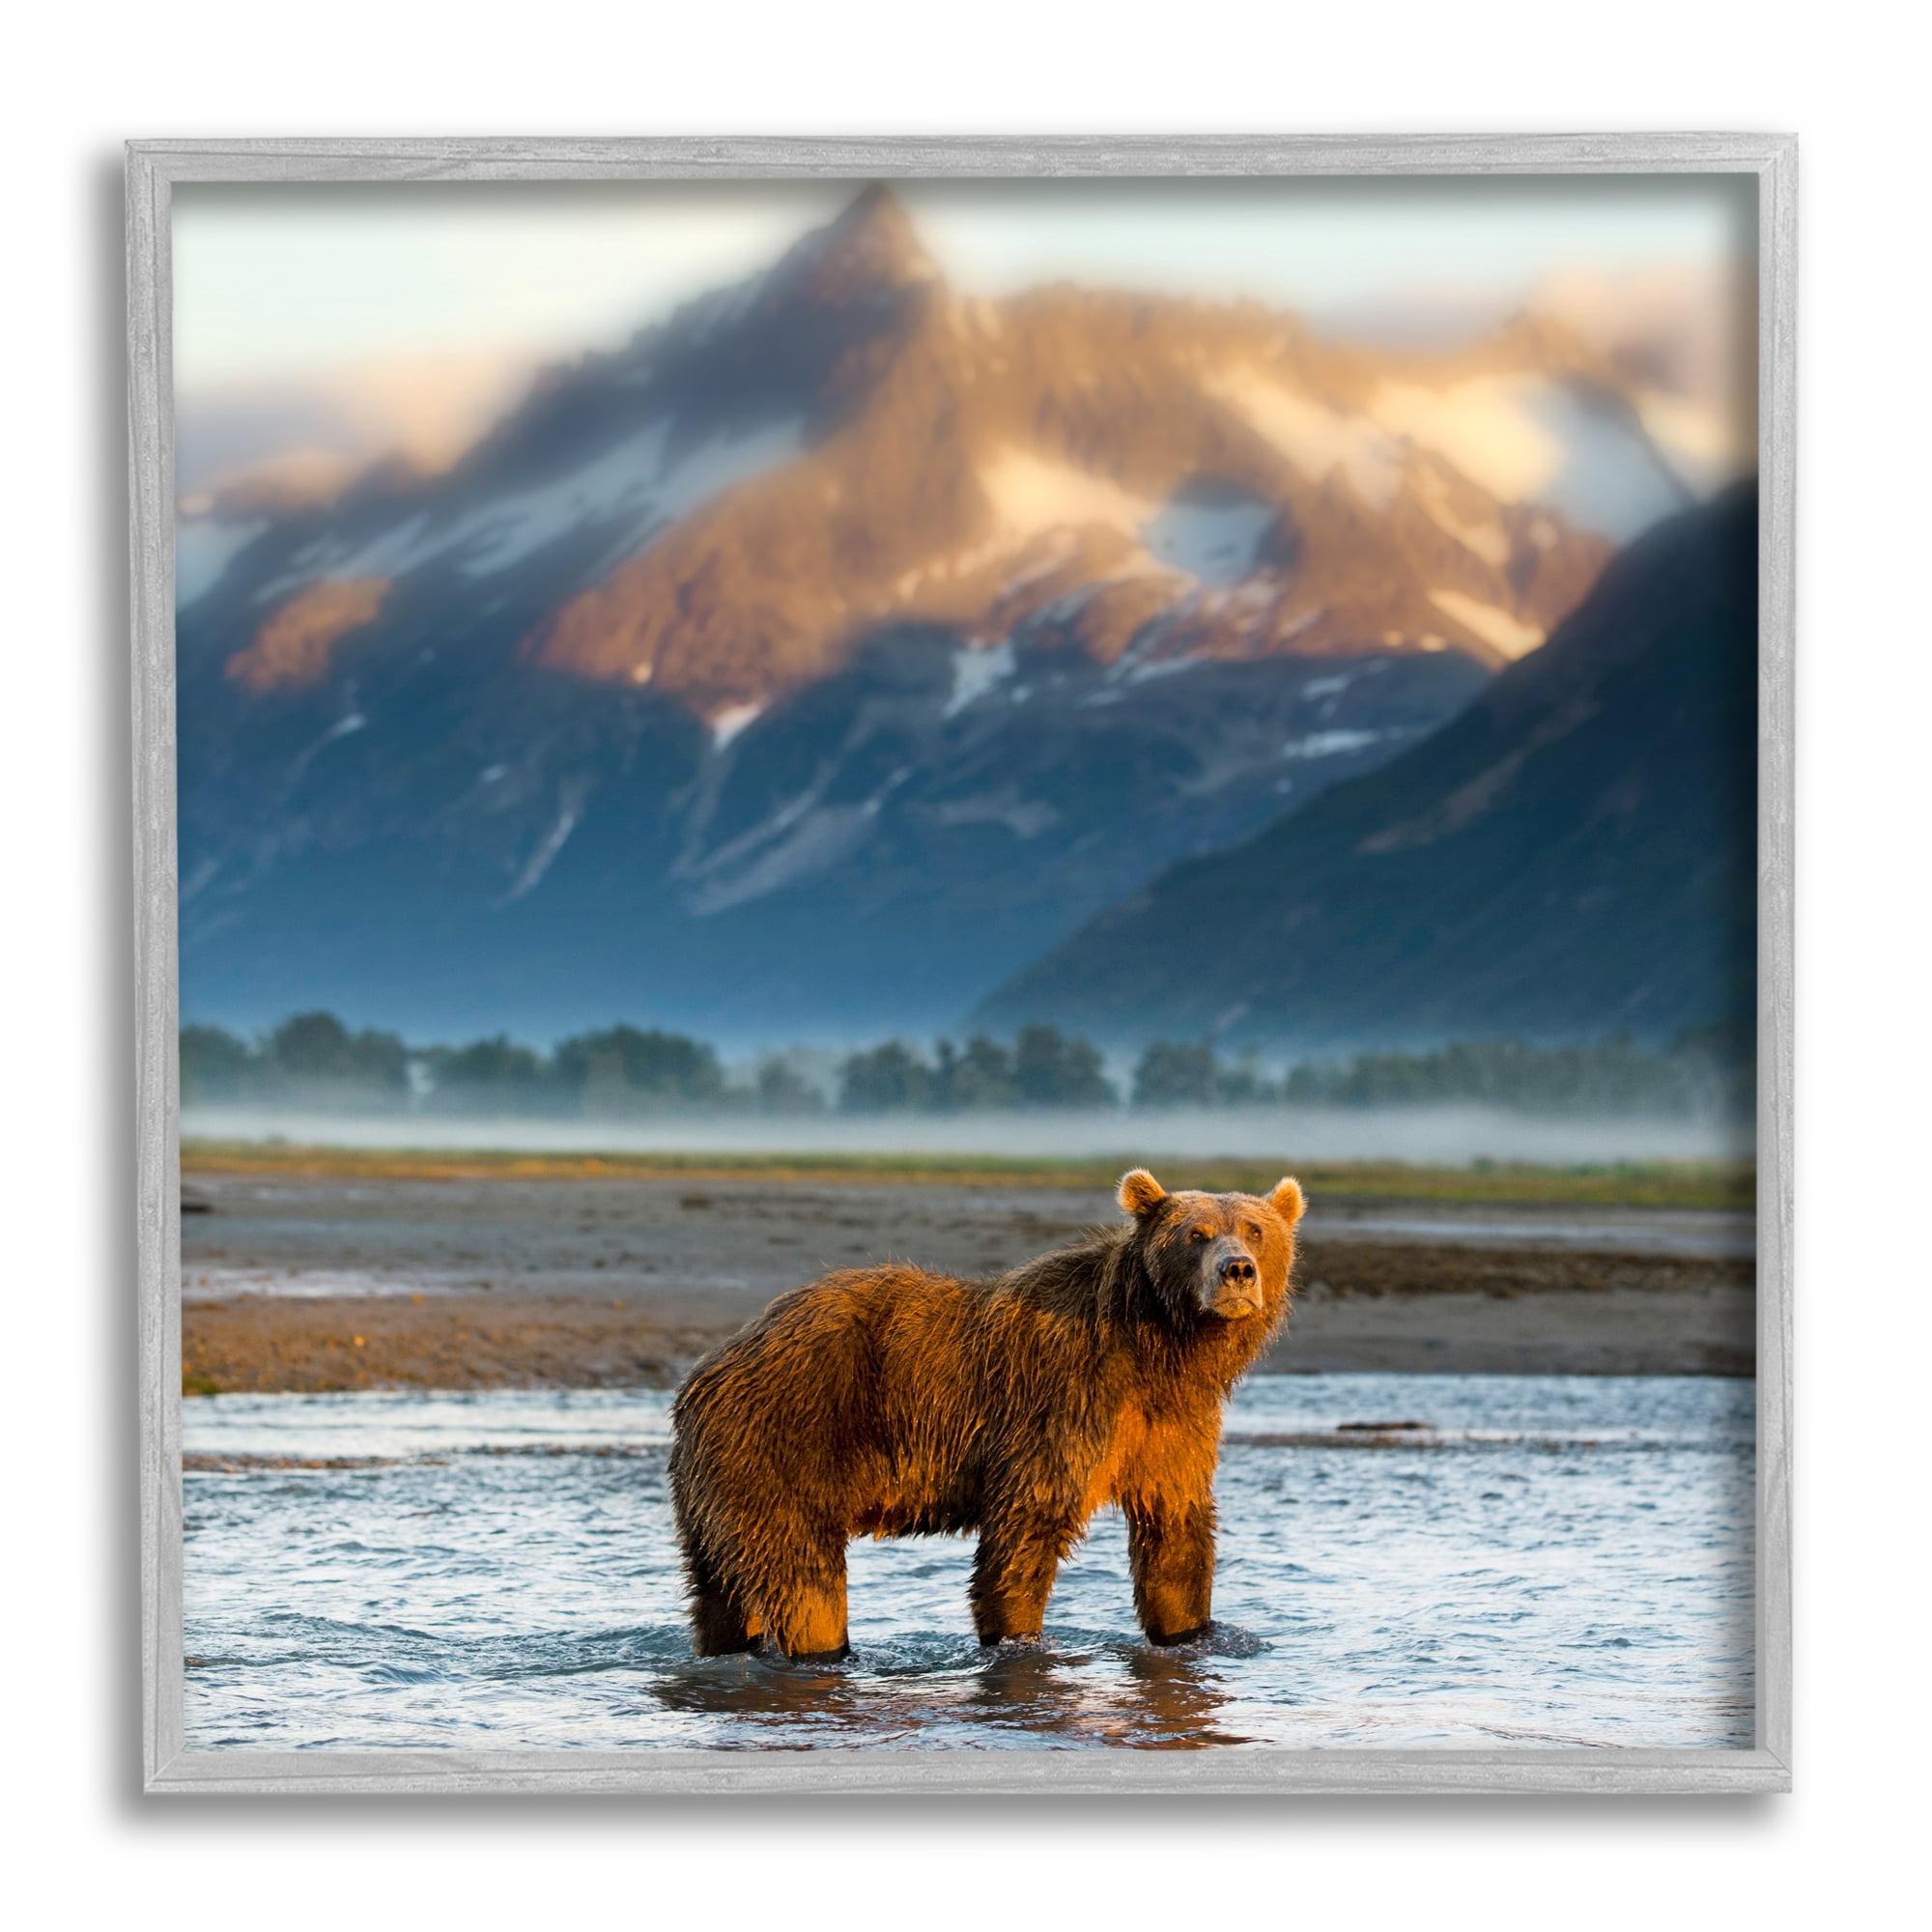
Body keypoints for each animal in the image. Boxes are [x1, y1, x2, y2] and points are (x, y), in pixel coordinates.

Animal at [667, 1167, 1304, 1659]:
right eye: (1196, 1234)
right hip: (788, 1441)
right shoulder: (1063, 1400)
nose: (1237, 1269)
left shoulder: (1172, 1423)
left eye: (1255, 1229)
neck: (1161, 1347)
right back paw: (823, 1652)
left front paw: (1191, 1635)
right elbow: (1027, 1529)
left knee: (718, 1589)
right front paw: (1019, 1641)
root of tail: (707, 1368)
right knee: (804, 1581)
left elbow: (1175, 1529)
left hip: (715, 1487)